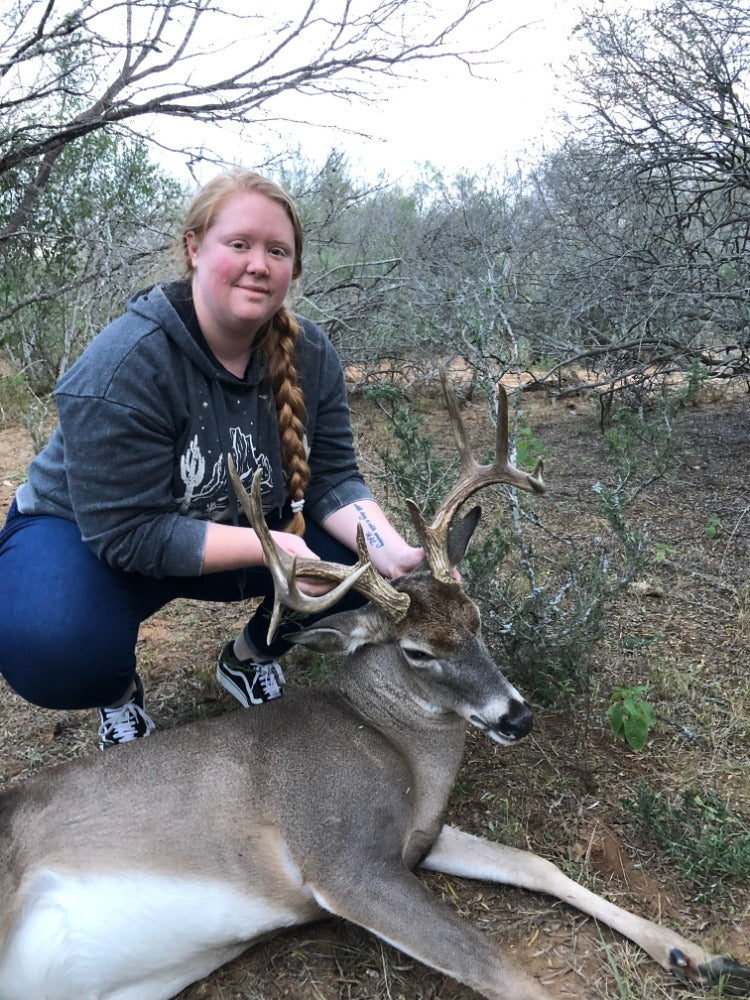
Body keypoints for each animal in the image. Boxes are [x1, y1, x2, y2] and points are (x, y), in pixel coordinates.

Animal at [0, 374, 748, 1000]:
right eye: (417, 651)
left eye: (478, 617)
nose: (517, 717)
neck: (395, 746)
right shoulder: (342, 859)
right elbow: (507, 974)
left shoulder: (418, 835)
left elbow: (537, 863)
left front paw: (695, 953)